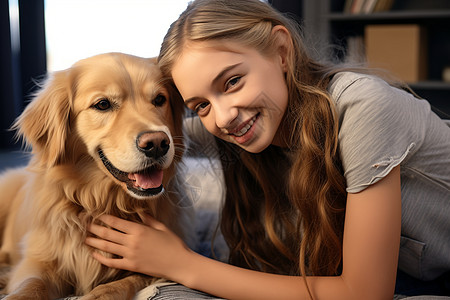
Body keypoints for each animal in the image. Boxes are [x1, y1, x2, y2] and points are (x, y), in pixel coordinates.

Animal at [0, 52, 188, 298]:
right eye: (103, 104)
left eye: (159, 100)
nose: (157, 143)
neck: (101, 202)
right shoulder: (37, 262)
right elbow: (32, 285)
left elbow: (122, 283)